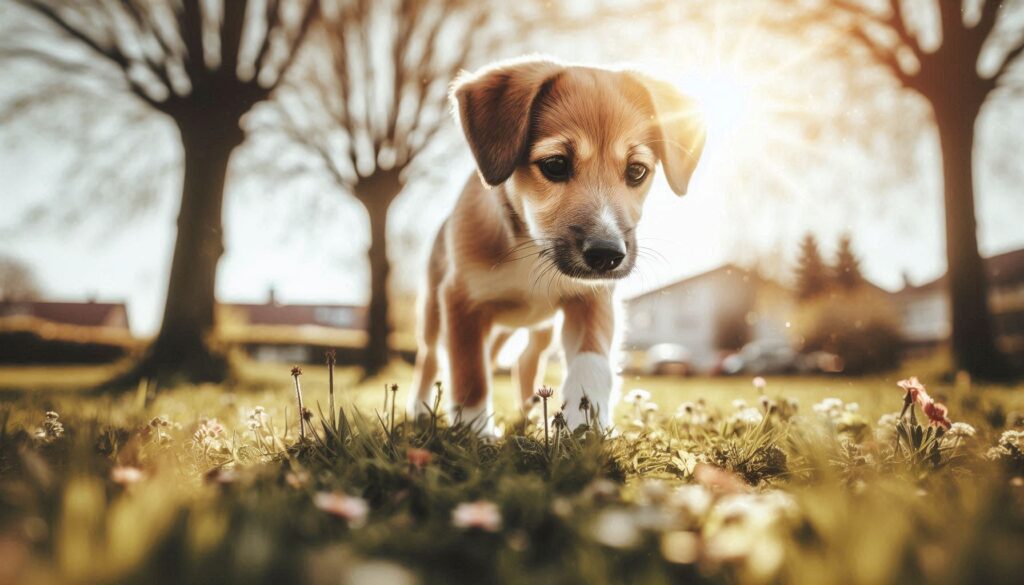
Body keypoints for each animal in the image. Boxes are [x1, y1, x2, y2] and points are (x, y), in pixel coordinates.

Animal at [407, 58, 704, 434]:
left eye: (637, 170)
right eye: (555, 165)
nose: (607, 256)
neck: (530, 246)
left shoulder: (591, 298)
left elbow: (591, 363)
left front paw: (585, 427)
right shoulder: (462, 301)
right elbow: (469, 372)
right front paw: (475, 432)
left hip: (539, 328)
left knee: (524, 360)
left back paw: (533, 414)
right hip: (434, 313)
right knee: (430, 359)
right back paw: (419, 410)